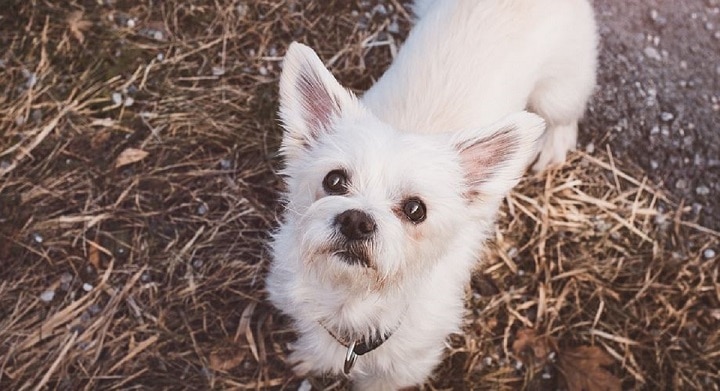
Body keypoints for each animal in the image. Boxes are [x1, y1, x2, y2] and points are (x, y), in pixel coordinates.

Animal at [268, 0, 592, 388]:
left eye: (415, 209)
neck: (353, 301)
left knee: (565, 115)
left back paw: (555, 144)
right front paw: (312, 357)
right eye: (334, 181)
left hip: (558, 91)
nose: (356, 221)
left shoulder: (403, 369)